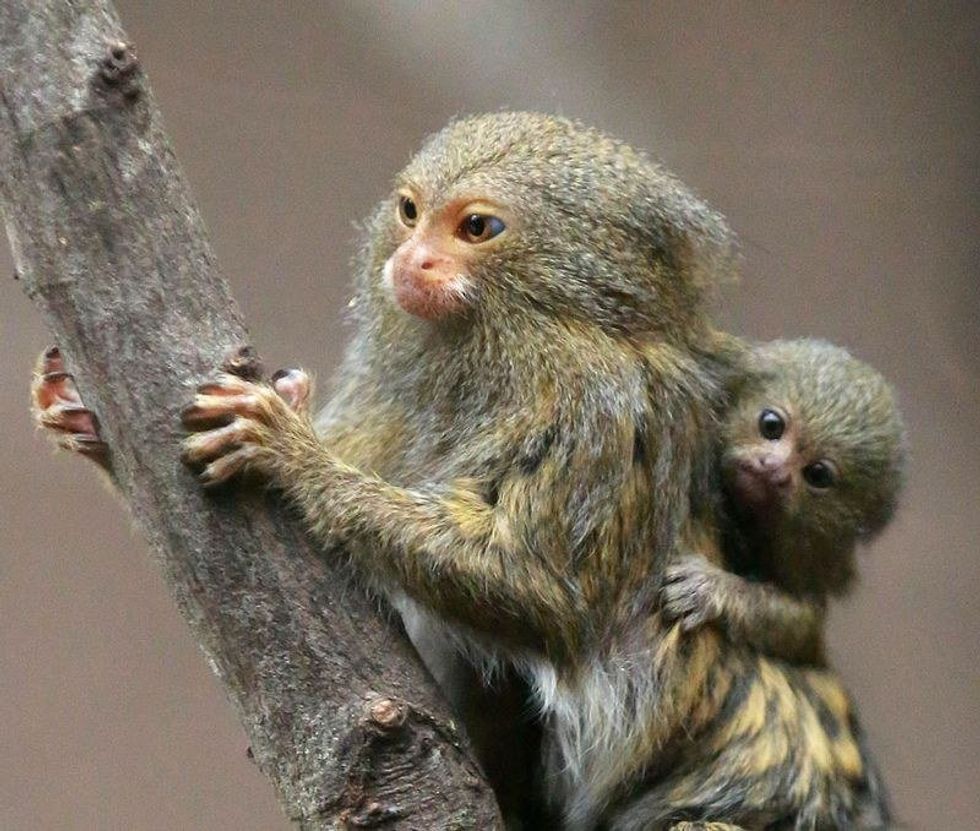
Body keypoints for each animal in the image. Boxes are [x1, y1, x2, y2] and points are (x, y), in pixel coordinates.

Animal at [660, 338, 907, 668]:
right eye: (771, 425)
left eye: (818, 474)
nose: (772, 467)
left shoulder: (809, 554)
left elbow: (802, 627)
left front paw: (711, 591)